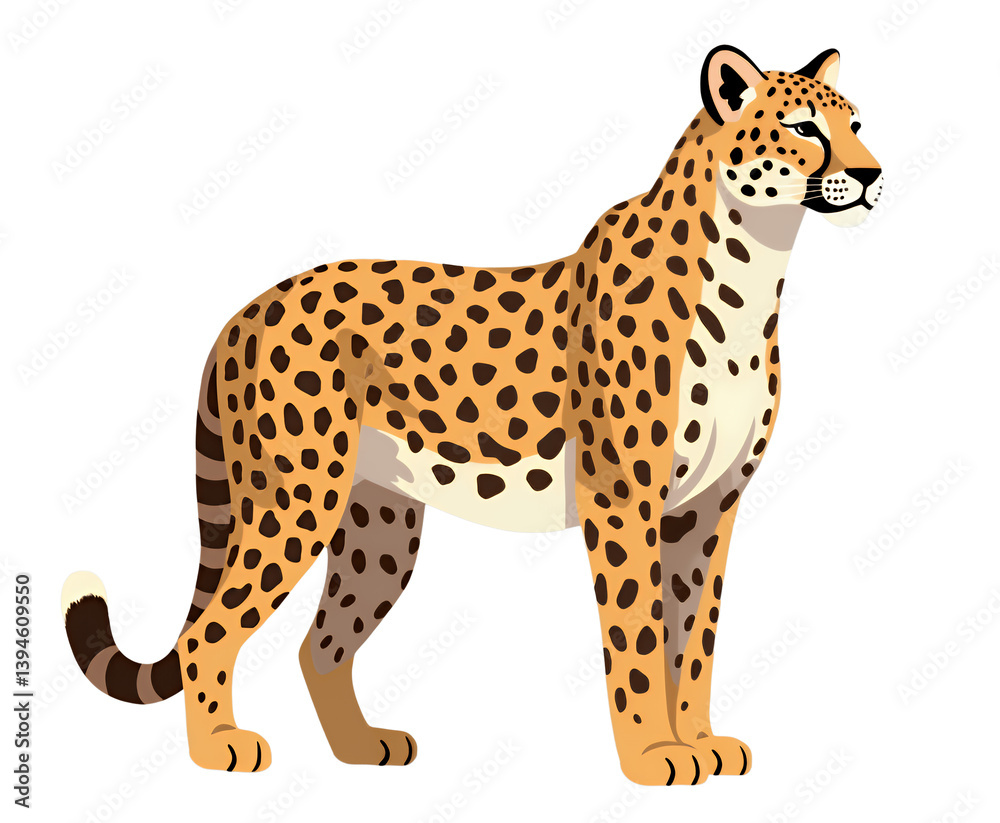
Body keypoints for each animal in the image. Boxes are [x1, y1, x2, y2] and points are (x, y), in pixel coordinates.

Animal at [63, 46, 882, 785]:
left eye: (856, 123)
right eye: (803, 128)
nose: (873, 175)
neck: (754, 262)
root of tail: (249, 308)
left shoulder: (708, 508)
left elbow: (697, 637)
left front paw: (703, 742)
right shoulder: (624, 502)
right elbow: (642, 638)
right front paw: (655, 756)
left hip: (378, 524)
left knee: (319, 644)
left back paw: (360, 748)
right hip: (296, 498)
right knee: (210, 634)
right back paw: (220, 751)